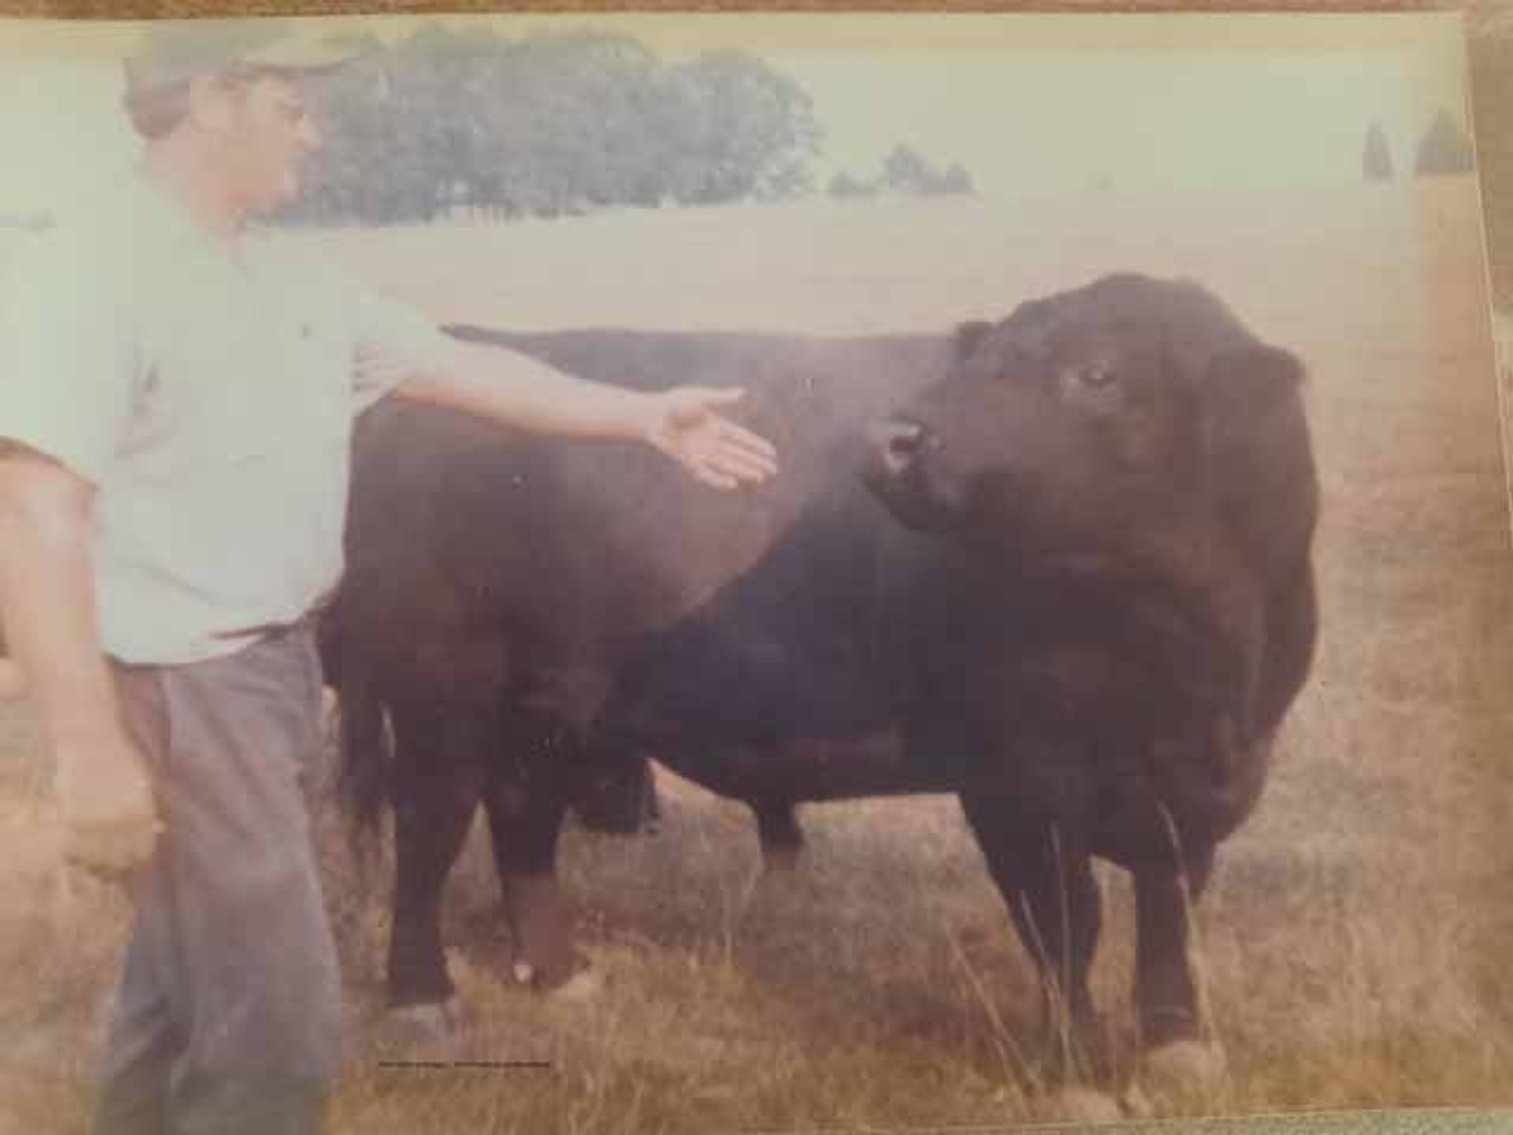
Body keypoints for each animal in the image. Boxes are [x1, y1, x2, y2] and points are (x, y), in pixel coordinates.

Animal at [326, 273, 1318, 1084]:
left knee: (520, 810)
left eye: (1099, 374)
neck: (1190, 662)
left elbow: (1168, 909)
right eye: (984, 354)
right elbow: (1065, 919)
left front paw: (1177, 1044)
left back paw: (561, 974)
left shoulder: (1199, 785)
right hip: (437, 689)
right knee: (430, 825)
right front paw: (1074, 1070)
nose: (893, 437)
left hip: (548, 699)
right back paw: (421, 997)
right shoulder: (1014, 779)